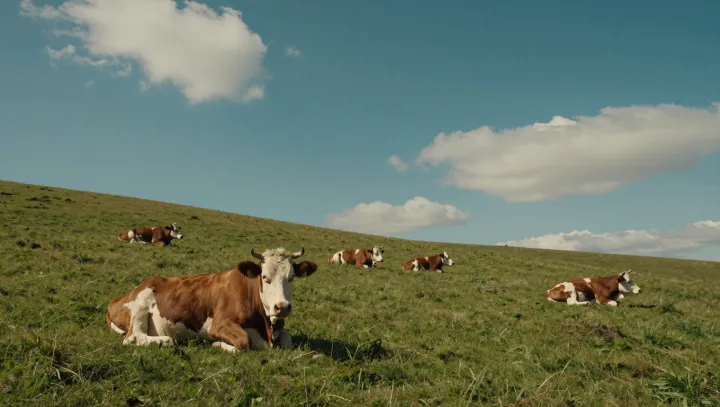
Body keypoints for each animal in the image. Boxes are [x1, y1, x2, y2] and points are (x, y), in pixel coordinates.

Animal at [105, 247, 318, 352]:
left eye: (291, 277)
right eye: (264, 277)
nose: (281, 307)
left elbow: (288, 340)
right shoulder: (220, 323)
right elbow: (243, 342)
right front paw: (217, 344)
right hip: (140, 304)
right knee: (133, 337)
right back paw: (165, 340)